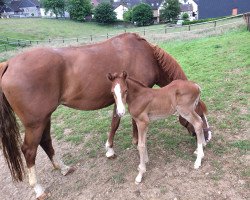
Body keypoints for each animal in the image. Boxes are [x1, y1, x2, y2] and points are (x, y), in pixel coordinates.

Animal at [0, 32, 211, 198]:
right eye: (198, 109)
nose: (207, 137)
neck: (145, 54)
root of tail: (9, 63)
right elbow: (124, 123)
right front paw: (128, 146)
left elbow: (117, 122)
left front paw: (114, 147)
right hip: (35, 122)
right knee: (29, 150)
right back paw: (38, 188)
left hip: (44, 118)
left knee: (45, 141)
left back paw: (64, 168)